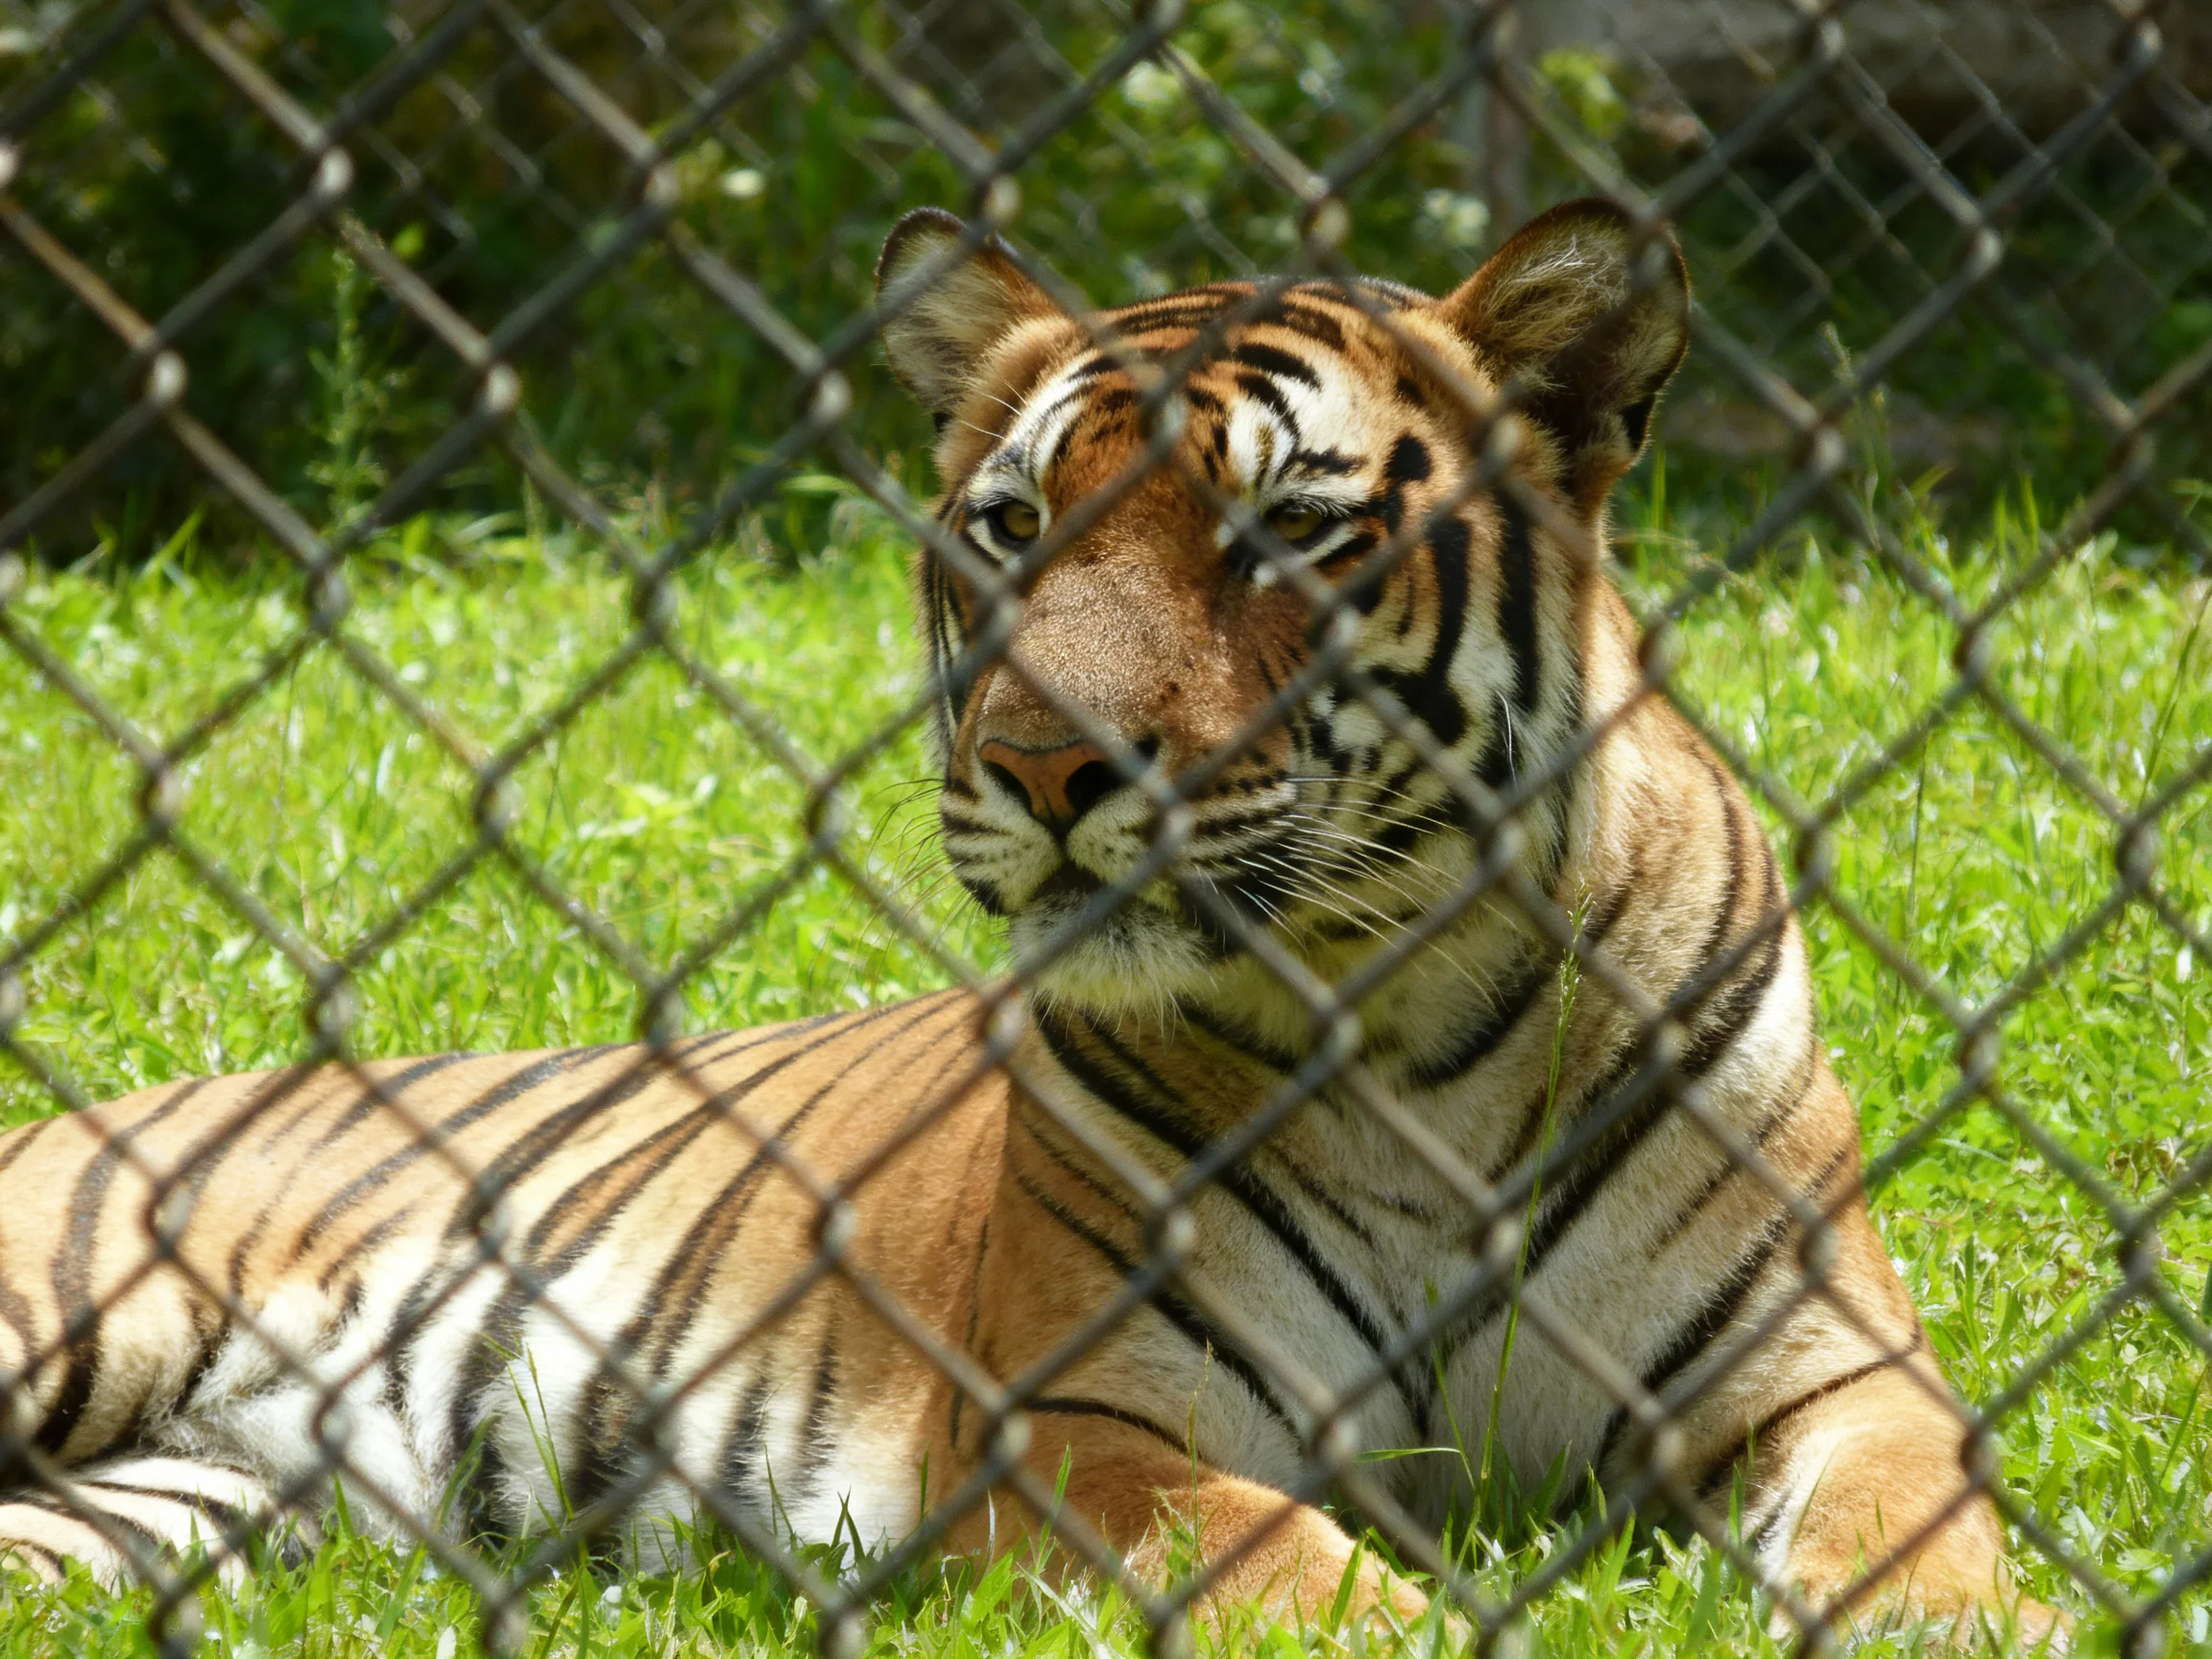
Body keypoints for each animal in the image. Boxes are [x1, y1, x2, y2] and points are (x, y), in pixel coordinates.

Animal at [0, 198, 2059, 1647]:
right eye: (1006, 527)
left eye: (1284, 532)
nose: (1038, 761)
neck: (1407, 1024)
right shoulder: (1081, 1420)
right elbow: (1296, 1575)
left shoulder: (1825, 1364)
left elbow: (1914, 1526)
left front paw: (1972, 1623)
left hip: (155, 1509)